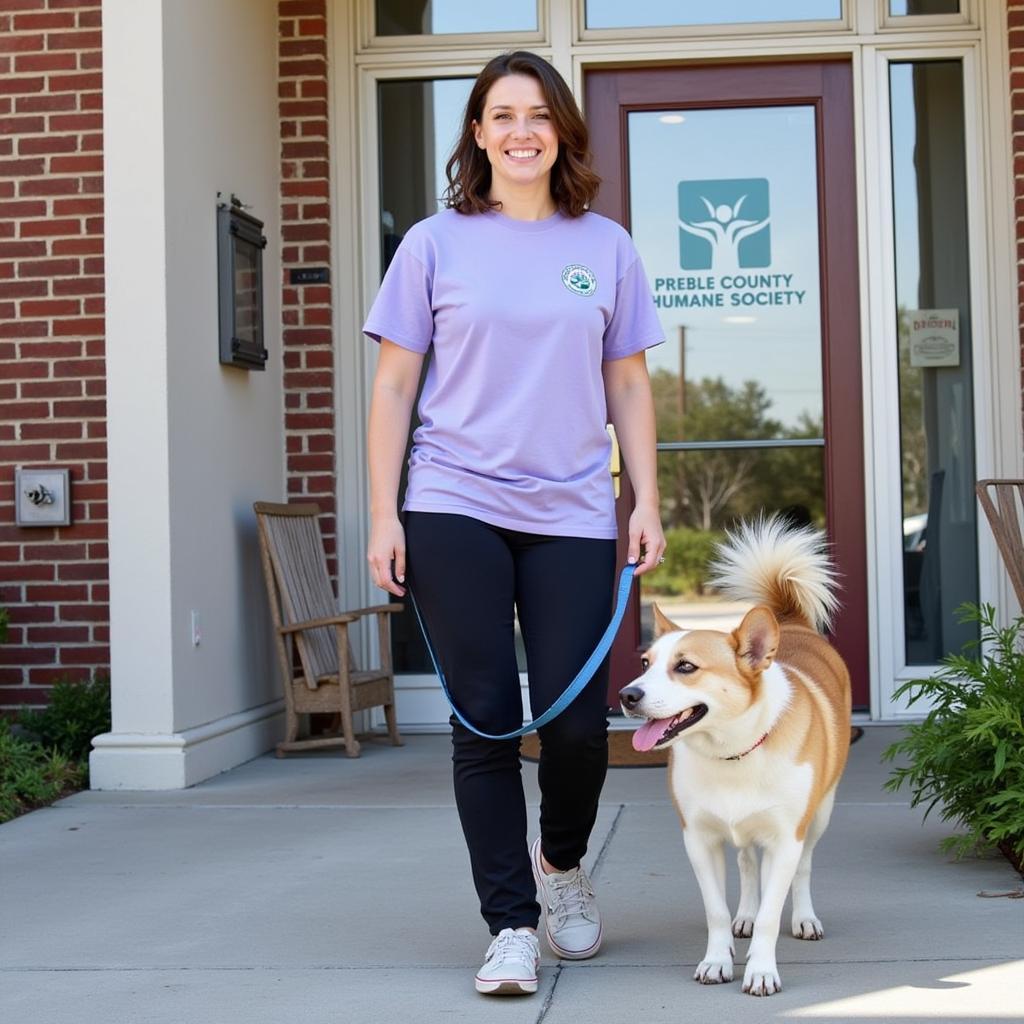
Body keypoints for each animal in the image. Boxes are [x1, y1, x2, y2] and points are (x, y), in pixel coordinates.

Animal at [618, 516, 851, 995]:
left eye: (685, 667)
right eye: (646, 663)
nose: (626, 695)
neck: (733, 752)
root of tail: (791, 622)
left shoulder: (785, 840)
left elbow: (772, 913)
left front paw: (761, 969)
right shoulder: (699, 840)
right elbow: (717, 910)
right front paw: (717, 958)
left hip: (819, 814)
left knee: (804, 868)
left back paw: (804, 918)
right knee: (745, 864)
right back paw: (745, 914)